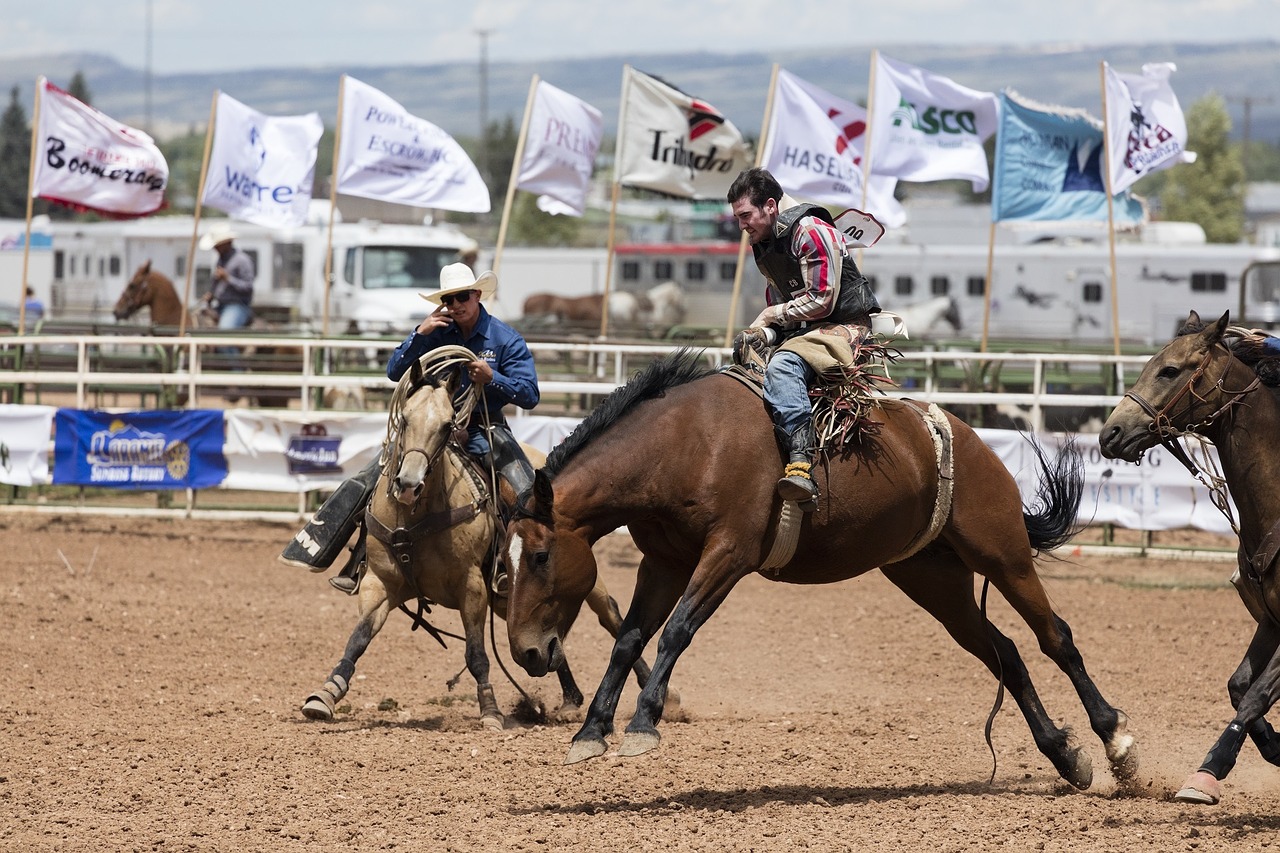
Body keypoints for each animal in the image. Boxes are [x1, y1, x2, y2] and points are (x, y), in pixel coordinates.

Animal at [302, 343, 650, 727]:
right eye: (404, 419)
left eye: (446, 426)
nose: (408, 484)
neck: (415, 516)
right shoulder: (380, 582)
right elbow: (359, 638)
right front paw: (326, 693)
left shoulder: (471, 587)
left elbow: (476, 653)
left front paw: (491, 710)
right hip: (509, 597)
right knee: (546, 632)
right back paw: (571, 698)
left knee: (610, 615)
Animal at [504, 348, 1136, 783]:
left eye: (539, 555)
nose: (527, 652)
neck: (686, 444)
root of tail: (964, 433)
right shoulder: (663, 562)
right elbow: (629, 638)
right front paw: (591, 731)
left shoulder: (728, 554)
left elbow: (676, 631)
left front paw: (642, 724)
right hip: (931, 577)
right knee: (1003, 651)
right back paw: (1065, 755)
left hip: (1002, 553)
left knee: (1055, 638)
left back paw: (1116, 742)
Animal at [1095, 311, 1280, 804]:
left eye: (1170, 370)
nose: (1109, 433)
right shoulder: (1270, 621)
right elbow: (1240, 687)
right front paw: (1276, 749)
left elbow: (1256, 695)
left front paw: (1208, 772)